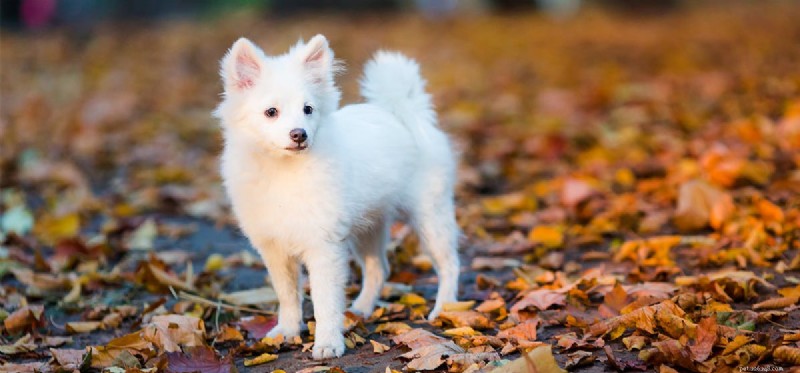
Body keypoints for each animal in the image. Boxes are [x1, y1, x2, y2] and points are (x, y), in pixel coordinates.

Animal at [216, 35, 460, 358]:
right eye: (271, 112)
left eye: (308, 109)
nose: (299, 134)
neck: (284, 171)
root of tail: (400, 111)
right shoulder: (275, 249)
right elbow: (288, 295)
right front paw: (287, 331)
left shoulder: (324, 248)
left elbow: (325, 302)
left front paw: (328, 343)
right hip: (369, 227)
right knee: (379, 269)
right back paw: (362, 309)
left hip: (430, 217)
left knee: (449, 264)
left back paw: (446, 308)